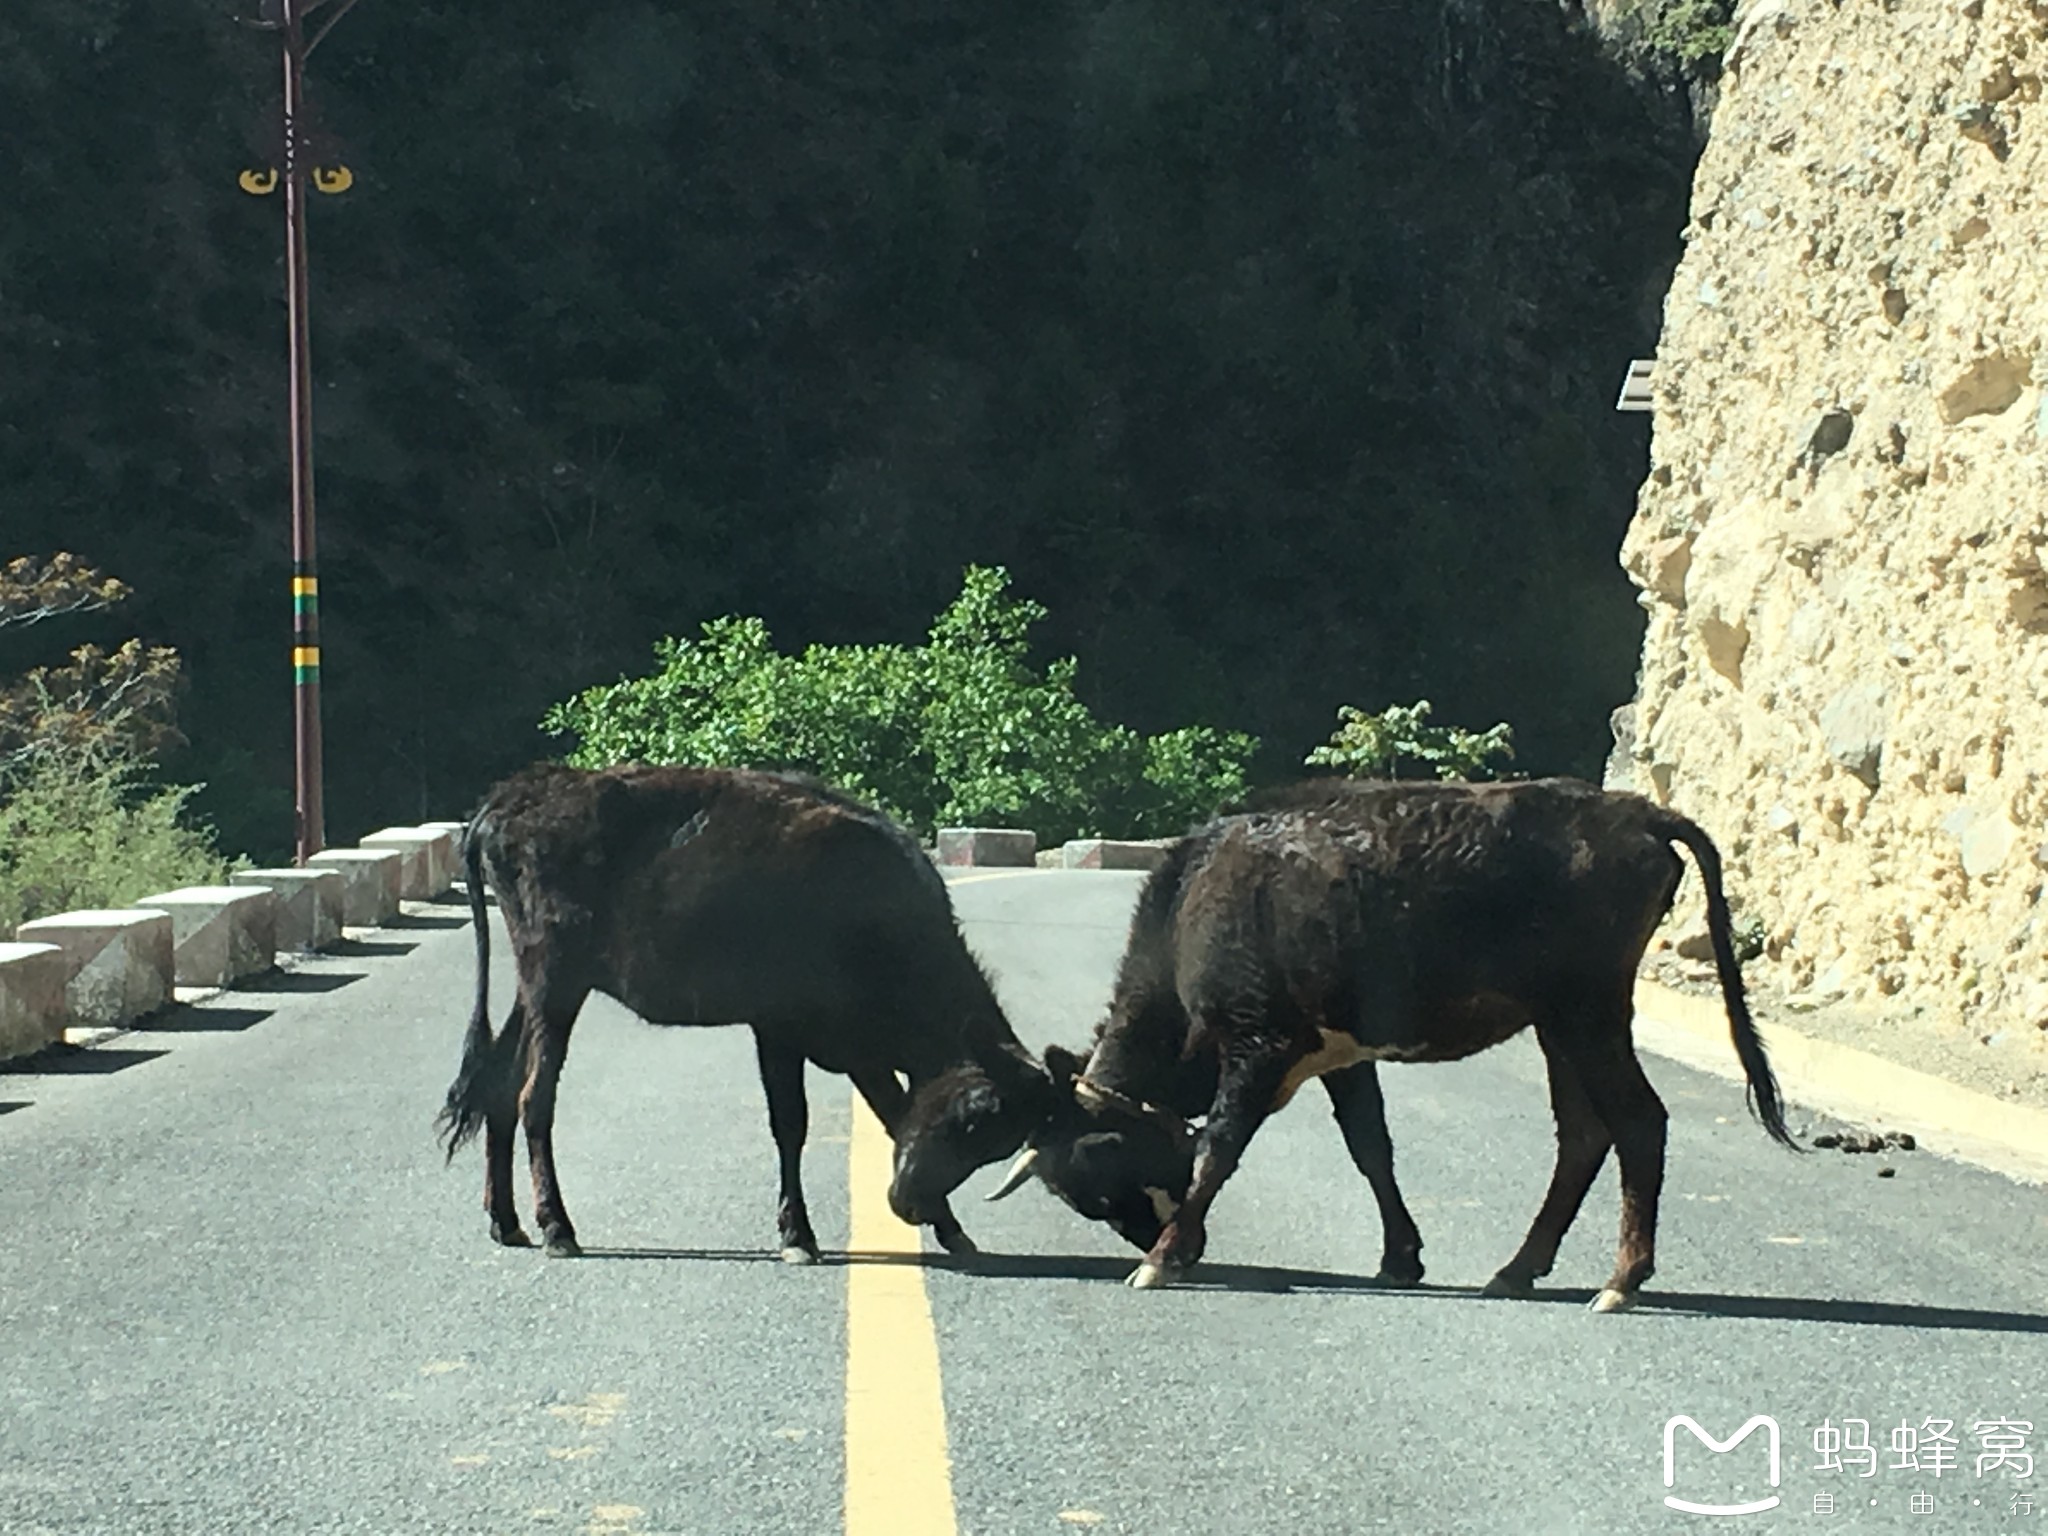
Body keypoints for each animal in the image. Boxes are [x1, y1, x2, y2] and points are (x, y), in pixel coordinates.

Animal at [442, 765, 1064, 1261]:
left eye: (993, 1146)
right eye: (972, 1119)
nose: (907, 1202)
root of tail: (515, 794)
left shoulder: (858, 1051)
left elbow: (891, 1114)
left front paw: (952, 1229)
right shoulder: (780, 1029)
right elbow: (792, 1123)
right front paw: (798, 1237)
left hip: (536, 992)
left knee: (500, 1084)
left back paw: (507, 1222)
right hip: (556, 984)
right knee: (534, 1097)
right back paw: (557, 1228)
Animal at [987, 782, 1794, 1310]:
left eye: (1100, 1181)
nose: (1168, 1238)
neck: (1192, 906)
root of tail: (1636, 810)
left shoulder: (1259, 1043)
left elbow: (1220, 1148)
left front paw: (1159, 1262)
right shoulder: (1340, 1059)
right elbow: (1370, 1147)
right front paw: (1400, 1256)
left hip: (1587, 1014)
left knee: (1637, 1123)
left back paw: (1621, 1280)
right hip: (1560, 1024)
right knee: (1584, 1134)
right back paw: (1518, 1268)